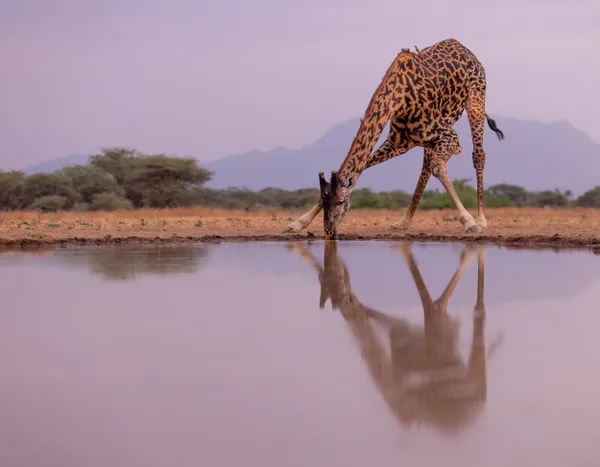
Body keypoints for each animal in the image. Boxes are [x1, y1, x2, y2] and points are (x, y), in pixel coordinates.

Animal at [284, 38, 504, 239]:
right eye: (324, 199)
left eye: (340, 202)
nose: (329, 231)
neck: (399, 98)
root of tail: (463, 47)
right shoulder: (398, 143)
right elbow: (365, 165)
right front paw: (297, 224)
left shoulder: (450, 137)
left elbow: (438, 168)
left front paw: (469, 222)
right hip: (427, 138)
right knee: (426, 166)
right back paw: (404, 222)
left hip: (476, 99)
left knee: (477, 155)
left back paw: (481, 220)